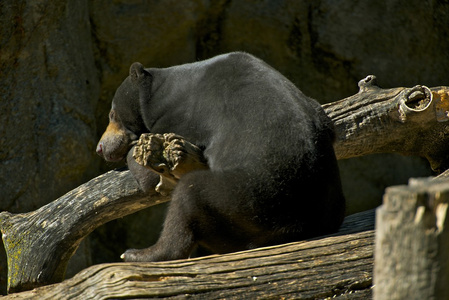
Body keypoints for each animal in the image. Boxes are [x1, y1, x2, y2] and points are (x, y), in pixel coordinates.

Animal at [96, 50, 344, 262]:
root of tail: (300, 225)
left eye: (112, 114)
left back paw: (138, 254)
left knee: (189, 197)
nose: (100, 148)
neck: (162, 89)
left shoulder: (184, 116)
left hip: (246, 199)